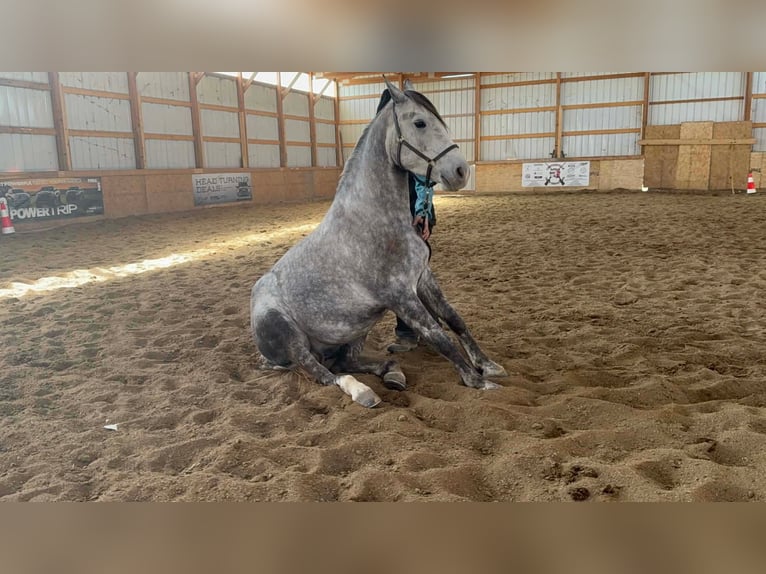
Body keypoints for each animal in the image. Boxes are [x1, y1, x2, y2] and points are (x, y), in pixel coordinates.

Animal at [250, 77, 507, 408]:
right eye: (420, 123)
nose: (461, 171)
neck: (374, 219)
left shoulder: (423, 279)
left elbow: (454, 319)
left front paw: (488, 365)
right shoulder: (400, 295)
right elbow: (437, 335)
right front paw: (478, 381)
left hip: (357, 329)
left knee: (344, 362)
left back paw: (391, 371)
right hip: (288, 335)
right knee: (324, 373)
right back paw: (362, 391)